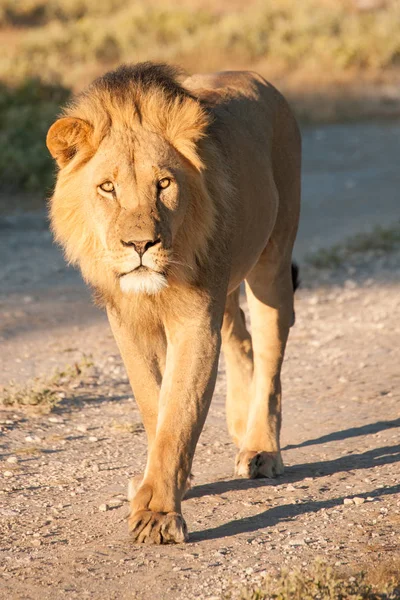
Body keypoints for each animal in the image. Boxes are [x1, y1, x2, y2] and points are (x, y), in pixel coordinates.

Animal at [46, 61, 300, 544]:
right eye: (107, 188)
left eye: (163, 184)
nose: (140, 244)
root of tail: (256, 77)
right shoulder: (127, 321)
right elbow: (154, 402)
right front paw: (164, 484)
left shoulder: (195, 321)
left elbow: (179, 410)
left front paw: (159, 515)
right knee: (239, 335)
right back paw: (239, 422)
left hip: (271, 264)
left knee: (270, 358)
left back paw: (261, 448)